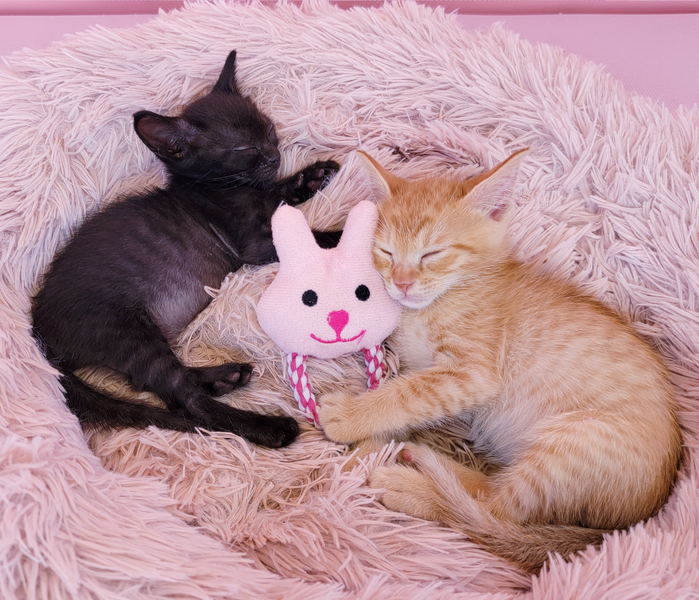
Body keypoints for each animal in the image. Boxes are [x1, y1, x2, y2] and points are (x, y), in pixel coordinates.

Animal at [32, 50, 341, 449]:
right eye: (245, 150)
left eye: (269, 131)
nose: (275, 155)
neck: (216, 186)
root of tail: (40, 332)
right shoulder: (253, 244)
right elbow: (309, 238)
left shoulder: (263, 199)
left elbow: (276, 193)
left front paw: (313, 175)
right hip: (123, 329)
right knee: (185, 402)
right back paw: (268, 427)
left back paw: (225, 378)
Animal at [318, 149, 682, 572]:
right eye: (386, 252)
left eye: (433, 253)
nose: (402, 283)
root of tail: (636, 519)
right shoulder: (424, 368)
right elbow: (407, 403)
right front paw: (367, 446)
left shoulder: (471, 374)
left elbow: (406, 395)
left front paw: (351, 417)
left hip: (573, 443)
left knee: (493, 512)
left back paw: (414, 486)